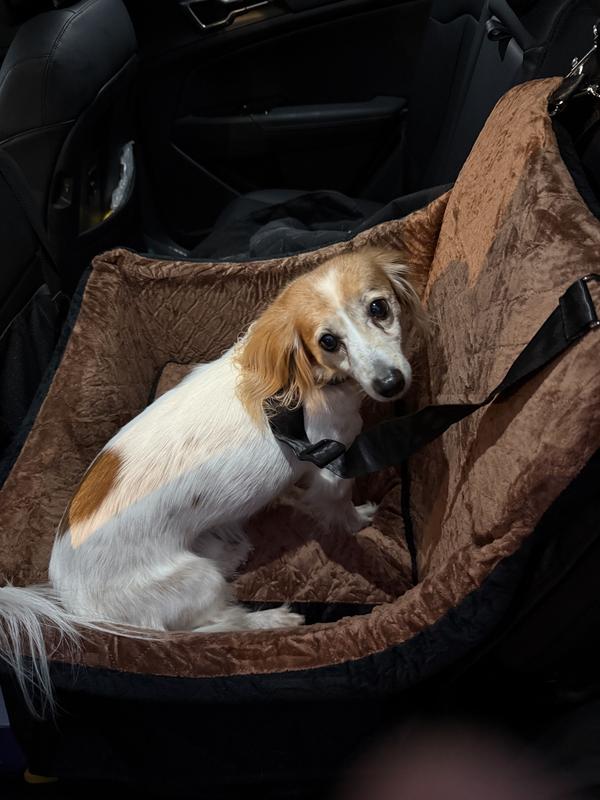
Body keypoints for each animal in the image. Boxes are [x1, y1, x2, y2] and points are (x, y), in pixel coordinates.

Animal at [0, 246, 424, 713]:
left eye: (379, 308)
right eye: (328, 342)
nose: (390, 384)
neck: (299, 380)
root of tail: (70, 597)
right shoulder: (332, 462)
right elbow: (340, 507)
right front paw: (360, 519)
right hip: (195, 582)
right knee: (218, 626)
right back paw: (271, 619)